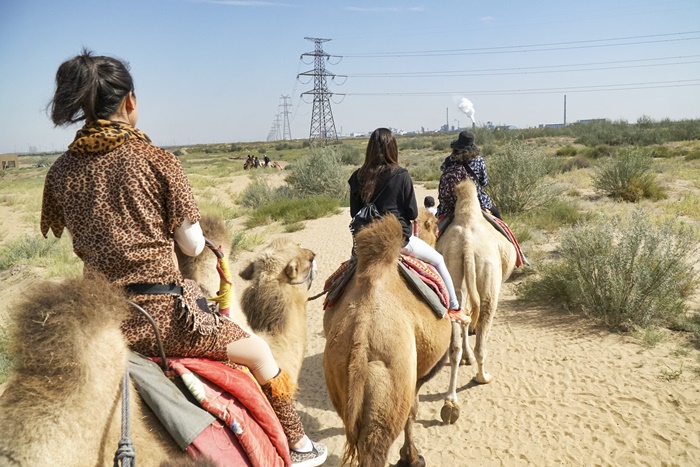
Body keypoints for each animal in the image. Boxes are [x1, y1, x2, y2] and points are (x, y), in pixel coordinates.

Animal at [324, 216, 452, 467]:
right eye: (434, 225)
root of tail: (360, 340)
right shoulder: (418, 375)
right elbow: (412, 411)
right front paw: (411, 458)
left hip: (339, 381)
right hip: (389, 387)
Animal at [434, 178, 516, 424]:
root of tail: (467, 245)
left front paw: (465, 358)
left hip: (452, 271)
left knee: (456, 335)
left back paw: (450, 403)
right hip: (490, 276)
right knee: (482, 331)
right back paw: (482, 377)